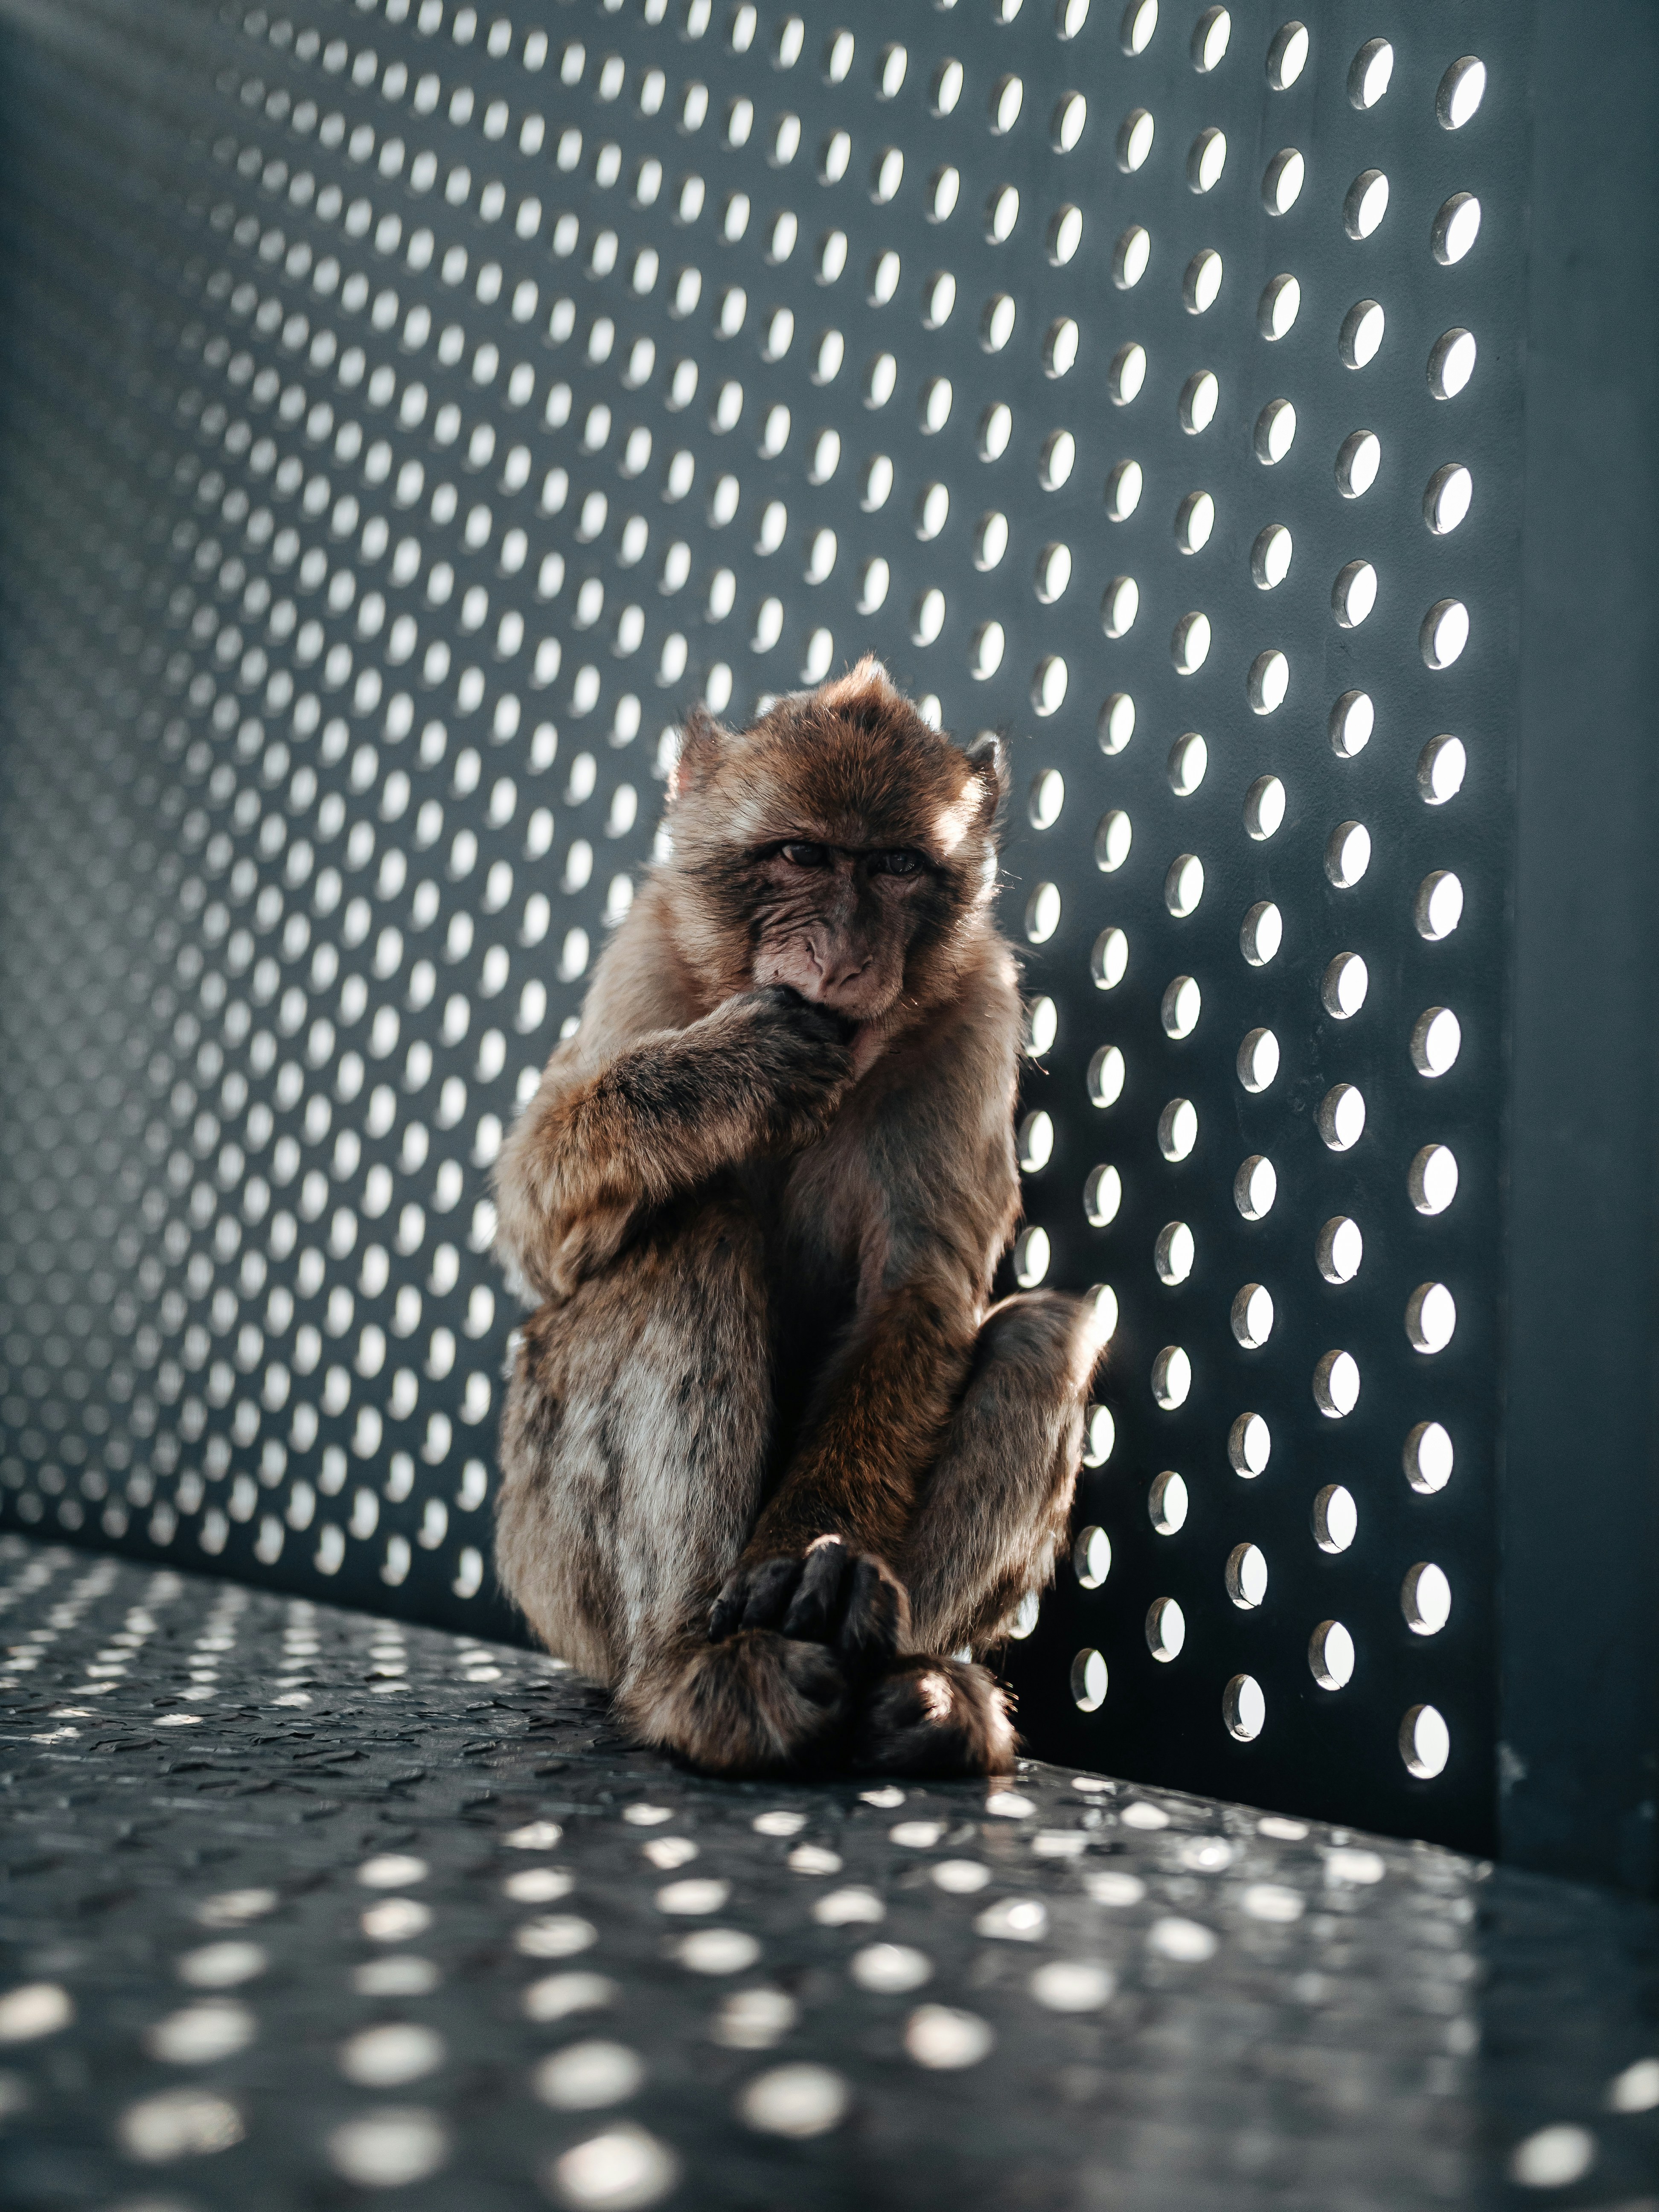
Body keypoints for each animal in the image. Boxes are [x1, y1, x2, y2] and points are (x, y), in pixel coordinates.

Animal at [491, 660, 1107, 1779]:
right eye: (802, 856)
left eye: (897, 866)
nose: (848, 953)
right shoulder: (643, 958)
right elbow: (533, 1233)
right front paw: (730, 1072)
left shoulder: (976, 1017)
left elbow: (917, 1294)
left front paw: (817, 1561)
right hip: (550, 1568)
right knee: (694, 1241)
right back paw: (698, 1666)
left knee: (1044, 1334)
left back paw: (909, 1686)